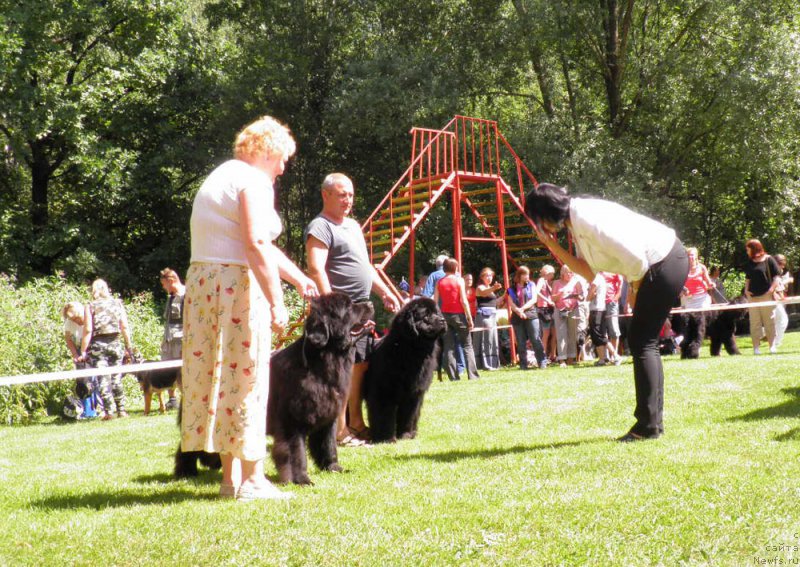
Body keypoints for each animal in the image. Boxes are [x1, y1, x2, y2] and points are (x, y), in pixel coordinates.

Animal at [364, 298, 446, 444]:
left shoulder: (413, 394)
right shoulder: (384, 392)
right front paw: (386, 438)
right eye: (426, 315)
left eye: (437, 313)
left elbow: (409, 415)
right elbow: (384, 416)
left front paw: (406, 435)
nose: (442, 320)